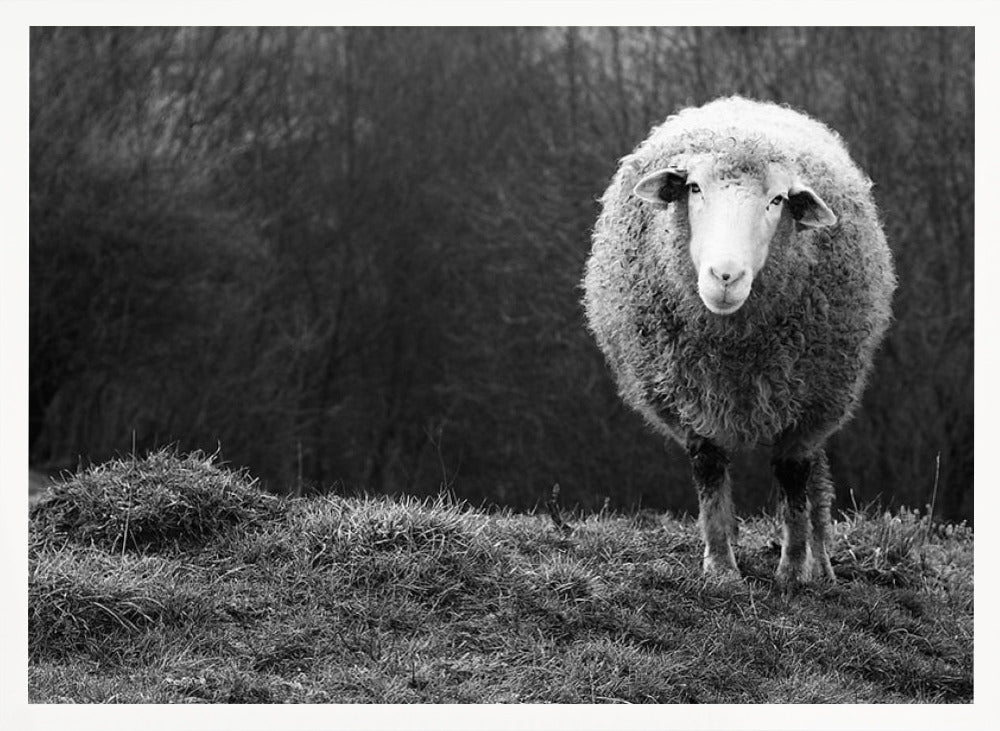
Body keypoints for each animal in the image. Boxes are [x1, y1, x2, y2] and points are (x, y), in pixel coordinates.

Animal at [583, 96, 896, 584]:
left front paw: (793, 570)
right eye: (693, 188)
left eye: (777, 200)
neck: (734, 349)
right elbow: (710, 470)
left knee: (816, 481)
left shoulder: (808, 404)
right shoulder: (690, 395)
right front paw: (720, 567)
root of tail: (743, 104)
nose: (725, 276)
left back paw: (821, 565)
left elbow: (793, 478)